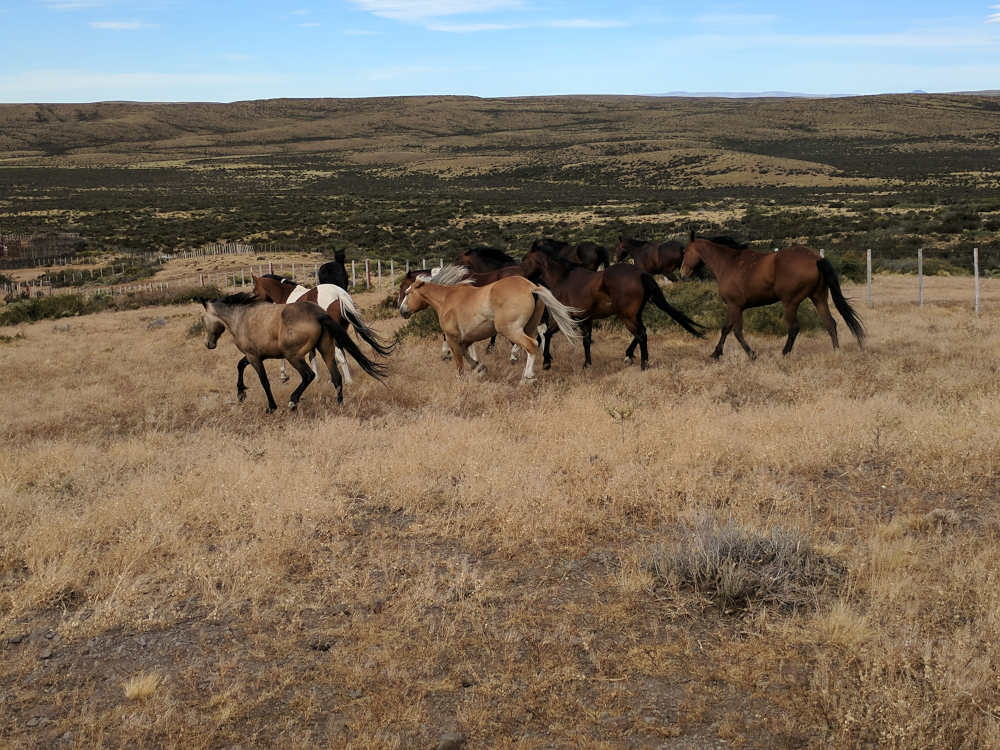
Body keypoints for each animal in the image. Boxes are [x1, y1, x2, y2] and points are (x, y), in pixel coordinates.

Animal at [202, 294, 386, 414]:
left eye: (203, 320)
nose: (208, 344)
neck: (241, 316)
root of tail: (319, 314)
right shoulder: (253, 355)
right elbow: (240, 365)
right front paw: (241, 394)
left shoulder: (254, 357)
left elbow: (264, 381)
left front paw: (271, 407)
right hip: (326, 351)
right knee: (336, 377)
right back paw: (339, 404)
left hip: (293, 356)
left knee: (309, 375)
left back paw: (293, 401)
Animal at [398, 264, 584, 384]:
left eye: (407, 292)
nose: (402, 310)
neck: (447, 298)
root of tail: (531, 287)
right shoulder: (466, 339)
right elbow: (468, 354)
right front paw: (480, 368)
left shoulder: (452, 338)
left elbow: (459, 363)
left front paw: (461, 381)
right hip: (529, 327)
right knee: (530, 348)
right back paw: (524, 377)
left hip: (510, 329)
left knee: (531, 345)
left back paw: (529, 378)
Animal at [520, 245, 708, 372]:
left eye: (523, 259)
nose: (520, 277)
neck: (563, 276)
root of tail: (640, 273)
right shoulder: (586, 319)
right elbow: (586, 341)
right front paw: (587, 364)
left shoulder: (567, 316)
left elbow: (547, 334)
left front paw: (546, 361)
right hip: (634, 315)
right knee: (641, 333)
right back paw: (629, 355)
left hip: (626, 316)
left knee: (641, 335)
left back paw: (643, 365)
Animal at [680, 232, 868, 362]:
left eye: (684, 252)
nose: (682, 275)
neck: (729, 263)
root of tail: (815, 259)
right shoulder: (733, 307)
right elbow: (726, 329)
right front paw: (715, 354)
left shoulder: (735, 306)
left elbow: (737, 331)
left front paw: (752, 354)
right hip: (819, 298)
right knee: (830, 323)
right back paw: (836, 352)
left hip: (790, 302)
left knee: (794, 328)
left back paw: (784, 354)